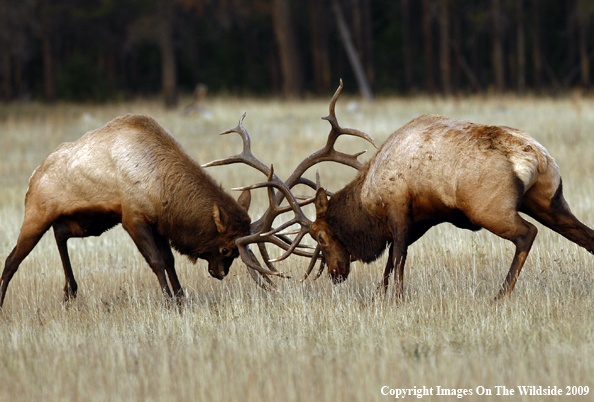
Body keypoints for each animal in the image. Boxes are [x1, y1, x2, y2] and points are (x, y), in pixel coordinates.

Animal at [0, 114, 280, 308]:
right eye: (224, 249)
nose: (220, 273)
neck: (160, 184)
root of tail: (34, 175)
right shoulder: (132, 218)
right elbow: (156, 261)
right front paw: (169, 303)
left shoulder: (159, 223)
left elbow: (169, 260)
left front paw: (181, 299)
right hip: (36, 215)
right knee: (11, 260)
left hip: (85, 223)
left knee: (59, 233)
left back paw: (70, 291)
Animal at [306, 113, 592, 298]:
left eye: (319, 236)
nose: (335, 272)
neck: (369, 201)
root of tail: (537, 156)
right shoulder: (420, 219)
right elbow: (393, 257)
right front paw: (380, 294)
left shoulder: (398, 205)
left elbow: (397, 255)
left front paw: (395, 298)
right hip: (549, 201)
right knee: (585, 235)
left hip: (489, 208)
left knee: (527, 233)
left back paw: (500, 296)